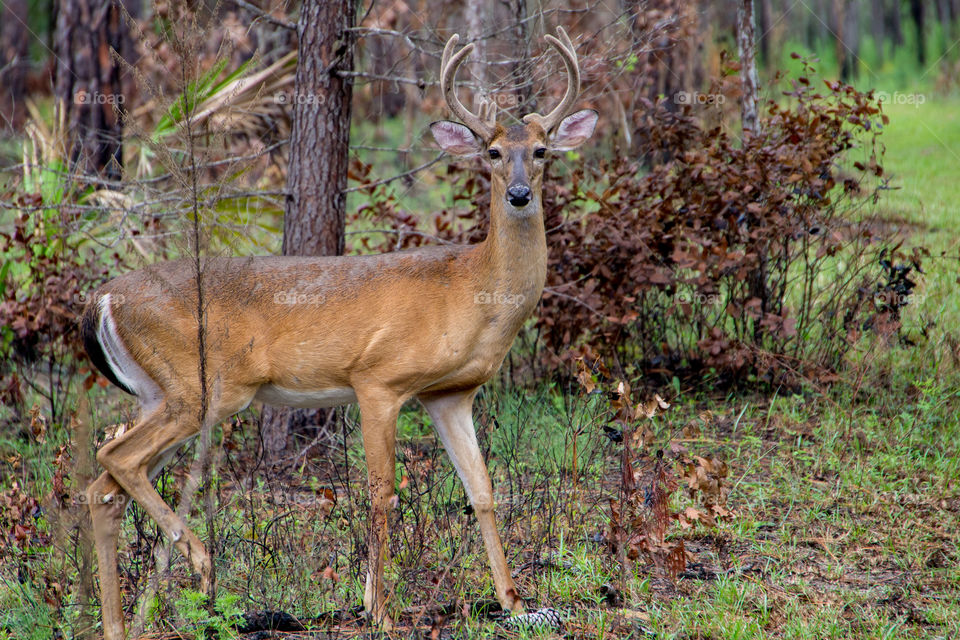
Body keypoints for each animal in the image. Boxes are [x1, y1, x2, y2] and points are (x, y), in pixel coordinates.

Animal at [81, 27, 596, 638]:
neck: (472, 290)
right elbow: (382, 495)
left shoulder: (450, 393)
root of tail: (101, 298)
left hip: (158, 393)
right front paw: (379, 609)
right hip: (202, 388)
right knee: (115, 459)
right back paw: (202, 564)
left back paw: (121, 622)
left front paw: (514, 602)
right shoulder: (378, 379)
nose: (519, 194)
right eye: (492, 152)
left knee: (105, 486)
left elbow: (483, 491)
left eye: (541, 151)